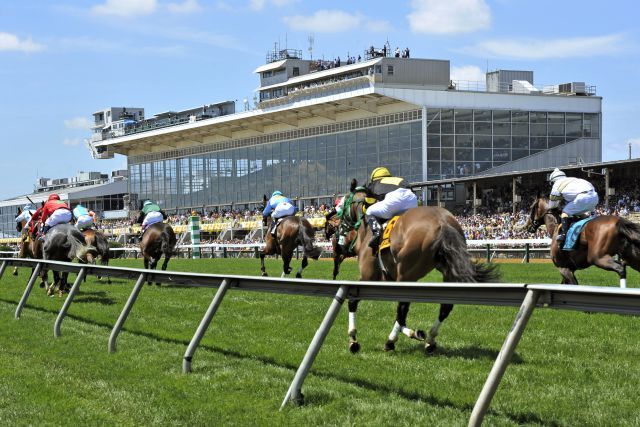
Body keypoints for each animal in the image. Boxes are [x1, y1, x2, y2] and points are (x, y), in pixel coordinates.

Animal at [338, 183, 498, 354]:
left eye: (343, 202)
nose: (340, 227)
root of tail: (443, 222)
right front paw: (416, 333)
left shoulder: (368, 277)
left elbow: (353, 301)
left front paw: (353, 340)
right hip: (447, 271)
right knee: (445, 306)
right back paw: (430, 339)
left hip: (406, 274)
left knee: (402, 308)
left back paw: (392, 340)